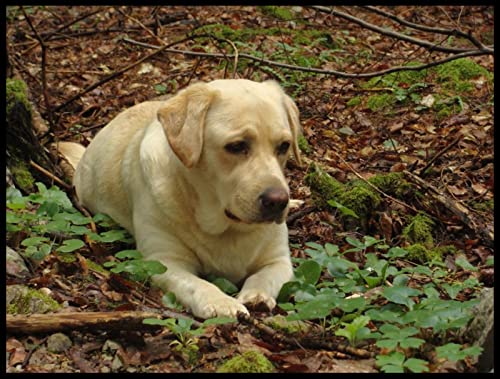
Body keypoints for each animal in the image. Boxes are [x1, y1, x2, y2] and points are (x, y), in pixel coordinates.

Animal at [65, 80, 302, 320]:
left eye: (284, 146)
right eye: (236, 146)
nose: (278, 201)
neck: (226, 227)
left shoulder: (279, 260)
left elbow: (264, 277)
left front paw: (257, 296)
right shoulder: (163, 261)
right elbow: (196, 284)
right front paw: (220, 302)